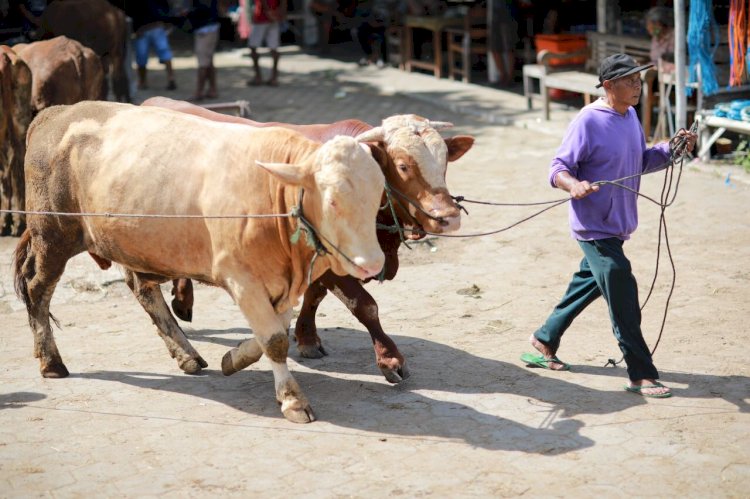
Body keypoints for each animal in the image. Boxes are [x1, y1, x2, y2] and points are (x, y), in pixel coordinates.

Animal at [14, 100, 388, 422]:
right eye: (333, 199)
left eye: (377, 197)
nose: (372, 263)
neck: (271, 195)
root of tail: (55, 114)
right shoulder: (241, 278)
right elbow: (275, 339)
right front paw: (292, 399)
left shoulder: (282, 285)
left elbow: (275, 330)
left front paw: (234, 358)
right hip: (53, 236)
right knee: (37, 290)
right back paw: (51, 360)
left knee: (143, 290)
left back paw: (186, 354)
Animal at [144, 95, 476, 382]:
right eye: (404, 166)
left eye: (444, 163)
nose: (448, 216)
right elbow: (365, 305)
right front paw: (390, 359)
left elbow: (314, 295)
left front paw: (306, 337)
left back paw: (183, 299)